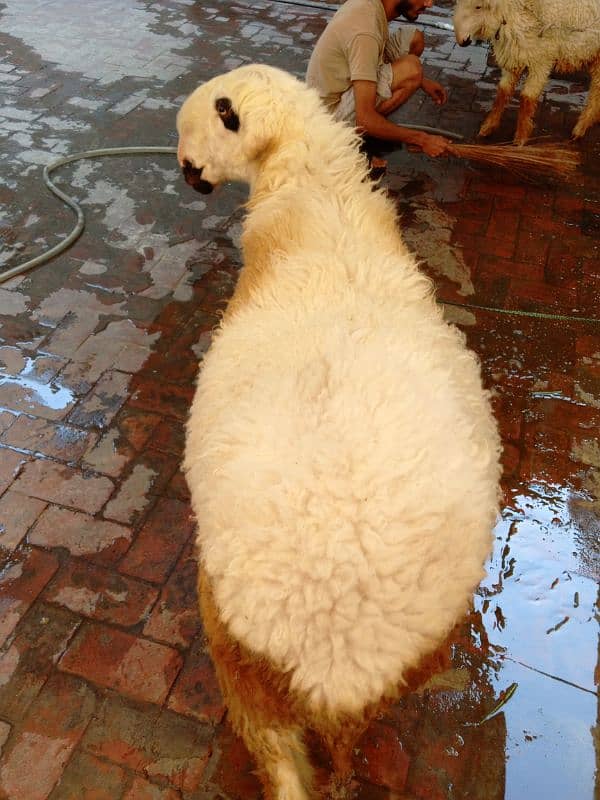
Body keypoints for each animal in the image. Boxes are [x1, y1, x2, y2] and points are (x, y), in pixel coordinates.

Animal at [177, 64, 502, 799]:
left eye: (204, 125)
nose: (188, 175)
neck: (319, 209)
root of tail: (339, 662)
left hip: (238, 658)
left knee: (277, 760)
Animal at [453, 0, 600, 144]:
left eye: (478, 7)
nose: (462, 41)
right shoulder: (513, 56)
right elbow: (502, 92)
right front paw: (488, 126)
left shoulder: (541, 61)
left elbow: (526, 98)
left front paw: (520, 138)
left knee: (596, 92)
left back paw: (580, 129)